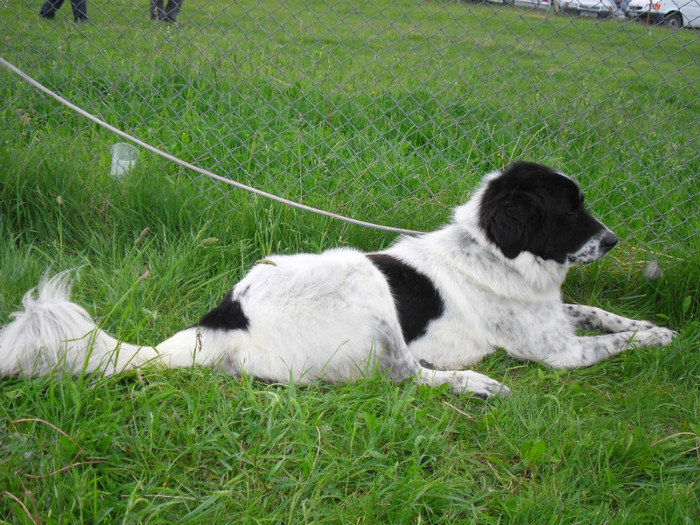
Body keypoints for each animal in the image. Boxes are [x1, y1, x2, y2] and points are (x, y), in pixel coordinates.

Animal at [0, 162, 680, 396]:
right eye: (570, 212)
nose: (613, 242)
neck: (493, 251)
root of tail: (224, 318)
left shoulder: (558, 316)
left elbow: (605, 316)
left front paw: (657, 326)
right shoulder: (558, 352)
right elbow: (614, 339)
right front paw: (658, 338)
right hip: (360, 278)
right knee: (406, 377)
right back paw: (476, 383)